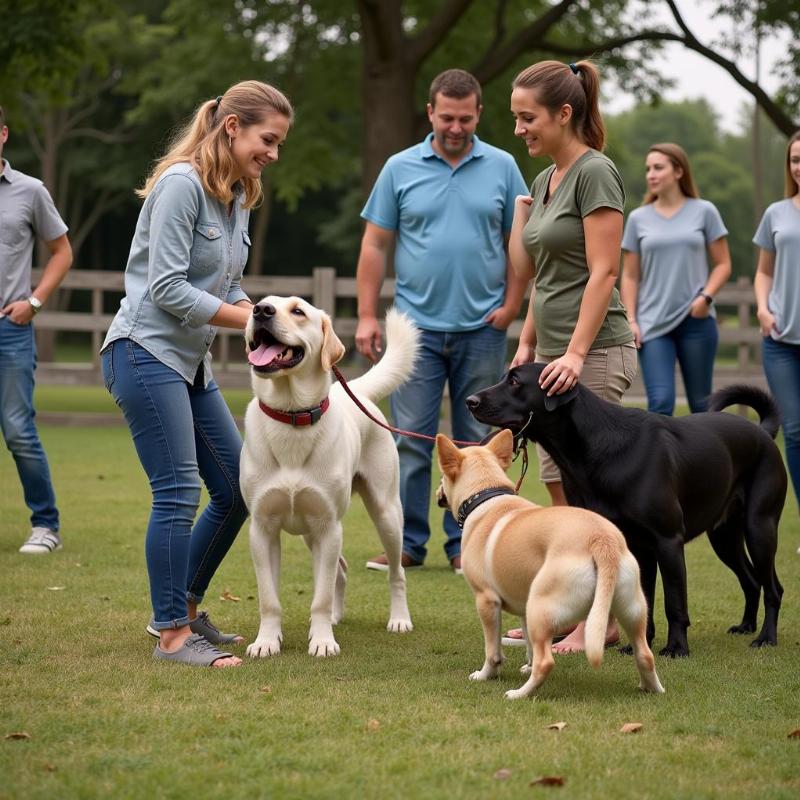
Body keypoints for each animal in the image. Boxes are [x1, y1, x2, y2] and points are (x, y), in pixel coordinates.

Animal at [241, 296, 418, 660]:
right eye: (260, 305)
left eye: (298, 311)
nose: (260, 311)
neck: (291, 415)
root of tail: (358, 392)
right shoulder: (262, 530)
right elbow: (269, 599)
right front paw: (267, 641)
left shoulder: (328, 526)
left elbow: (319, 597)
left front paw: (322, 641)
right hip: (312, 533)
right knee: (341, 569)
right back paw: (336, 617)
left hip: (386, 515)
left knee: (397, 572)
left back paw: (398, 619)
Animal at [434, 432, 664, 700]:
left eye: (442, 476)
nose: (438, 492)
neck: (486, 494)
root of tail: (601, 540)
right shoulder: (523, 606)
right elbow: (529, 645)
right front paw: (526, 665)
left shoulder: (486, 600)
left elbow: (493, 650)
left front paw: (484, 675)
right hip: (632, 610)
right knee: (645, 654)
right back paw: (652, 689)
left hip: (541, 608)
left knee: (546, 662)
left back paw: (519, 693)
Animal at [466, 366, 784, 660]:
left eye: (515, 381)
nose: (470, 401)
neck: (593, 447)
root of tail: (763, 431)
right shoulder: (636, 546)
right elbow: (643, 600)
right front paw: (638, 645)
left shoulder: (667, 541)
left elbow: (673, 601)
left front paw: (677, 648)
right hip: (723, 537)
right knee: (751, 581)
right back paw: (746, 626)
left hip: (759, 528)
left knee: (773, 588)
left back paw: (766, 638)